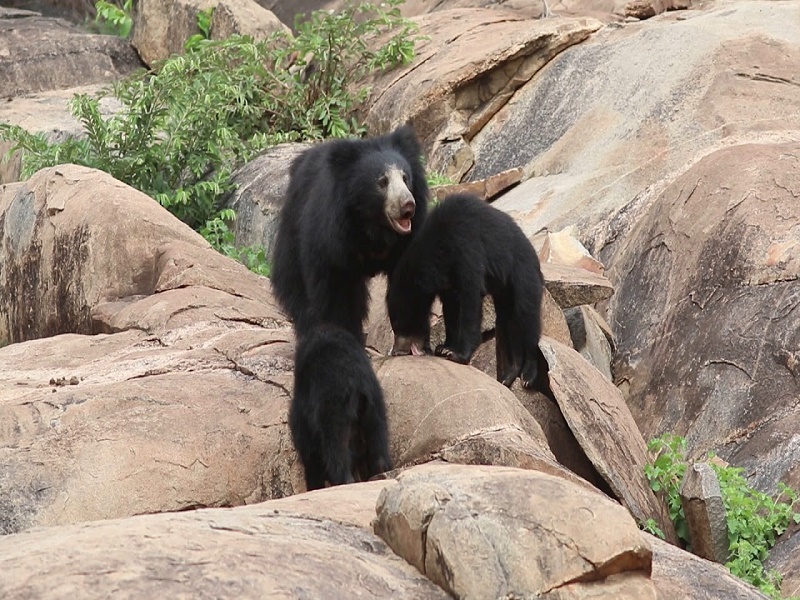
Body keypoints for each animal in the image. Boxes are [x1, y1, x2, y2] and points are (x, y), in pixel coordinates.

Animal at [271, 125, 429, 344]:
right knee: (295, 286)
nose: (408, 205)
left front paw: (412, 338)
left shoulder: (407, 241)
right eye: (382, 181)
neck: (373, 224)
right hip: (294, 228)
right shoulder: (333, 238)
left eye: (406, 178)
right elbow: (337, 292)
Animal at [289, 324, 392, 491]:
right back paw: (380, 472)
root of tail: (356, 385)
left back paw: (344, 479)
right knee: (378, 439)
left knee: (336, 448)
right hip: (374, 404)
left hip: (334, 408)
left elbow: (310, 453)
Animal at [387, 192, 544, 389]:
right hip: (504, 291)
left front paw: (457, 354)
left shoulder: (467, 249)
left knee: (526, 316)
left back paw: (527, 376)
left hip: (523, 275)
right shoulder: (447, 282)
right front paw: (445, 348)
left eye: (399, 324)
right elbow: (451, 310)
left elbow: (470, 301)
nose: (395, 351)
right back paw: (509, 375)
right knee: (507, 321)